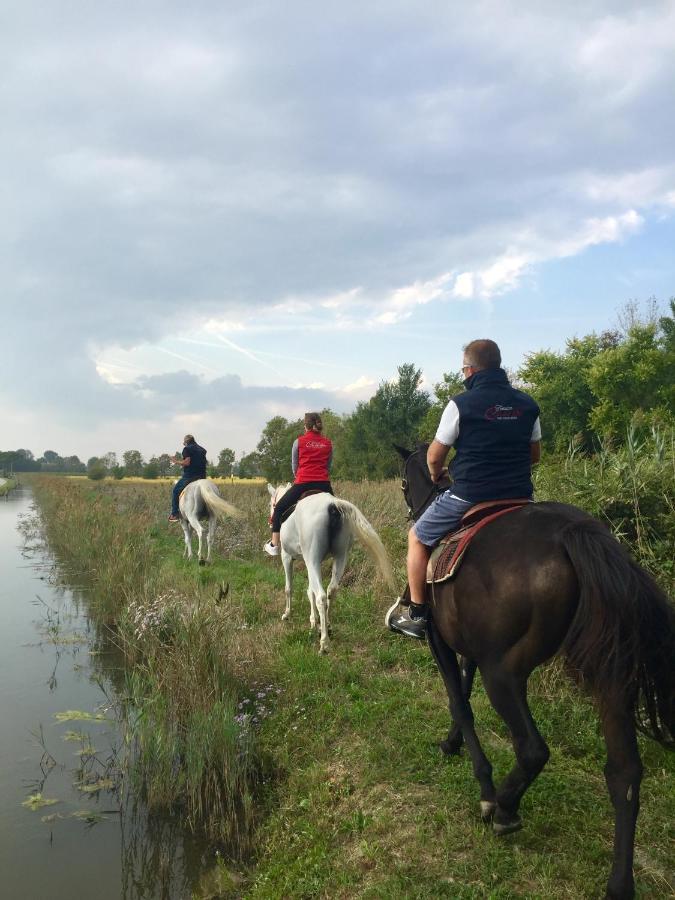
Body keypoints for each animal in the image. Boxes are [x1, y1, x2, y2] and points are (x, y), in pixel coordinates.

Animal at [268, 486, 396, 652]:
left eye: (272, 505)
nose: (271, 522)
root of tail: (332, 505)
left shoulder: (287, 557)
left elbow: (289, 588)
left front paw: (287, 614)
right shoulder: (313, 564)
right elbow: (310, 591)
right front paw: (314, 621)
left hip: (312, 559)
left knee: (322, 597)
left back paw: (324, 643)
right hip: (339, 557)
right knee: (331, 590)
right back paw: (327, 627)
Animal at [396, 444, 675, 900]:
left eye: (403, 481)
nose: (411, 508)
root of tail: (573, 532)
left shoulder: (441, 640)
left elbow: (460, 700)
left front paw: (480, 781)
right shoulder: (471, 648)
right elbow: (463, 691)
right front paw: (452, 743)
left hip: (505, 674)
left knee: (532, 749)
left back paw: (502, 808)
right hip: (611, 678)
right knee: (625, 773)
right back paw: (619, 884)